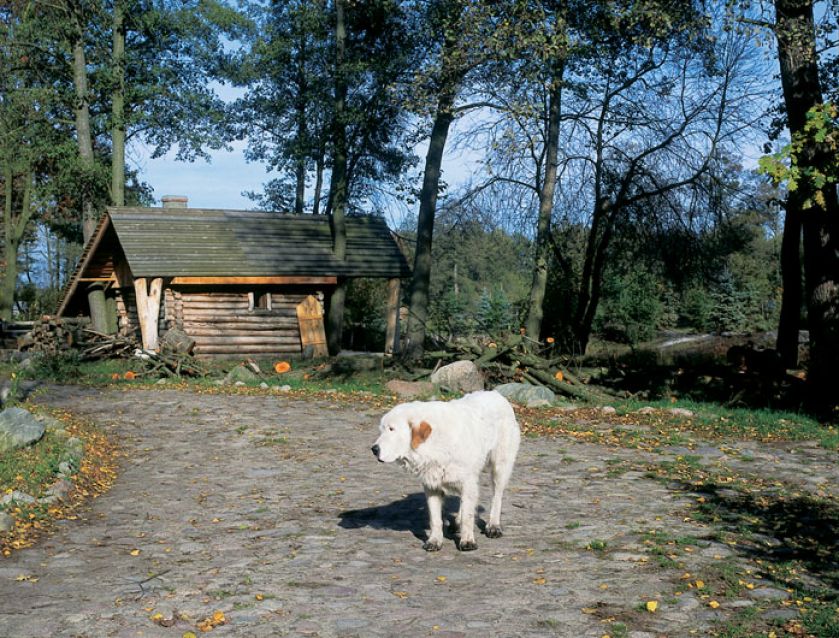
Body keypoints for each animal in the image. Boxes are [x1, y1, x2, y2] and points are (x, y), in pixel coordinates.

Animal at [372, 392, 520, 552]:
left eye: (392, 429)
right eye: (382, 430)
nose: (374, 449)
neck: (434, 443)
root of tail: (496, 393)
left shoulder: (467, 481)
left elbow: (468, 517)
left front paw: (467, 541)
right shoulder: (432, 486)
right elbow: (436, 519)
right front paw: (434, 541)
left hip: (500, 466)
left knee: (496, 496)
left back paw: (493, 525)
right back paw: (457, 522)